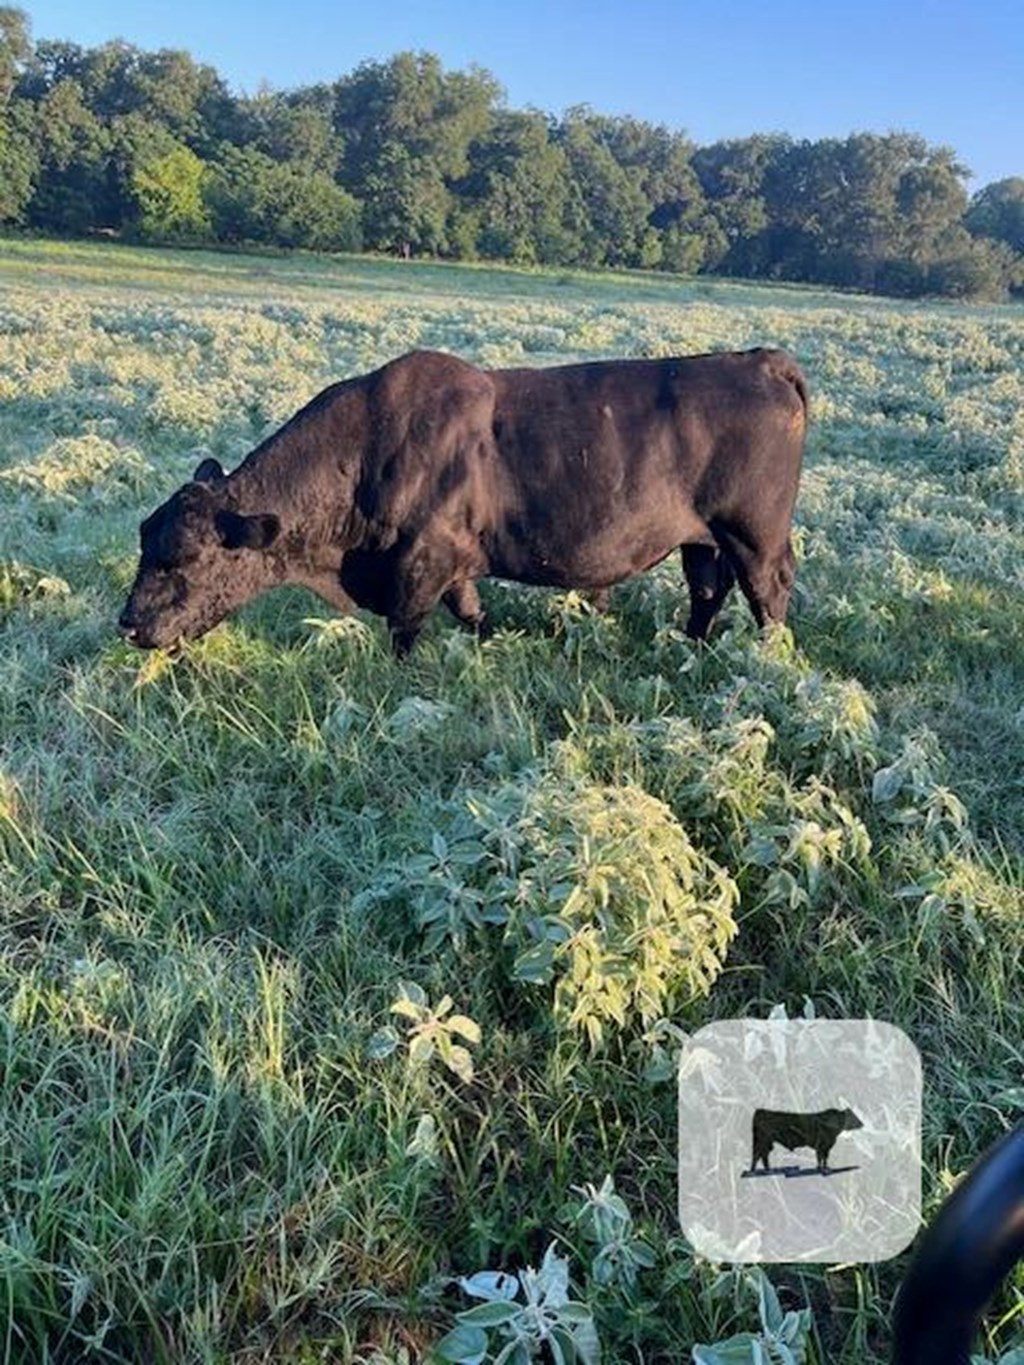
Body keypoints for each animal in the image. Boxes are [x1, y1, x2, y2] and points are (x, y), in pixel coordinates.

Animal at [118, 346, 808, 655]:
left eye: (183, 559)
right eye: (145, 540)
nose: (127, 624)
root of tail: (760, 359)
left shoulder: (421, 562)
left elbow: (406, 631)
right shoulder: (455, 567)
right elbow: (472, 612)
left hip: (755, 536)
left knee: (767, 596)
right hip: (702, 540)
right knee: (707, 592)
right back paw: (691, 647)